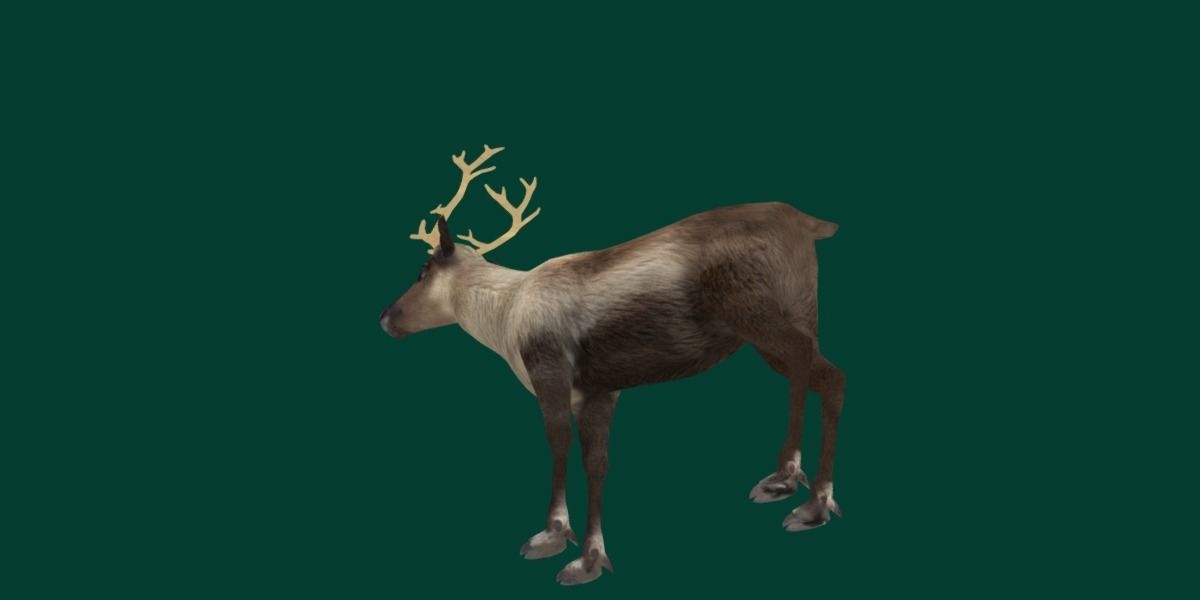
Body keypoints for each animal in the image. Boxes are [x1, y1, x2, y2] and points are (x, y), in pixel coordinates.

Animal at [379, 145, 845, 585]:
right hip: (796, 315)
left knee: (815, 367)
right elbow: (598, 463)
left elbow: (560, 446)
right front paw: (589, 557)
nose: (385, 317)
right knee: (825, 376)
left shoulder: (550, 374)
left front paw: (554, 537)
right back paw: (805, 495)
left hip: (760, 315)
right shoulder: (600, 392)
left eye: (422, 269)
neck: (504, 316)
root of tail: (810, 223)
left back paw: (794, 486)